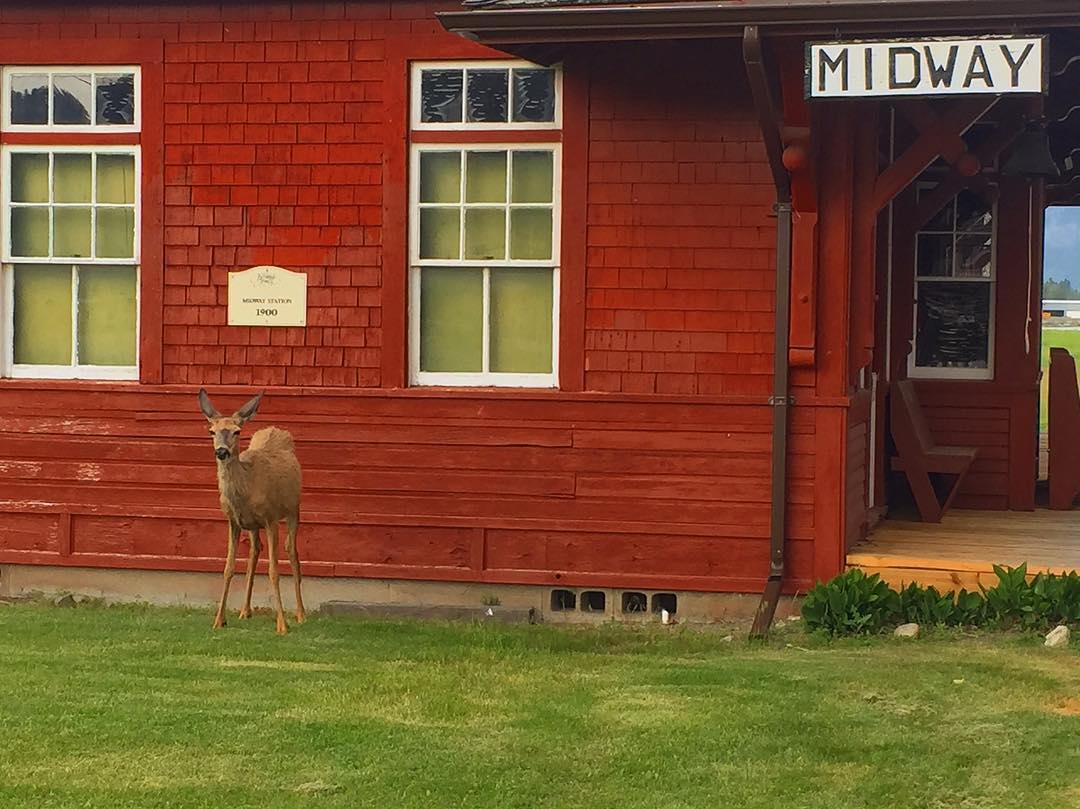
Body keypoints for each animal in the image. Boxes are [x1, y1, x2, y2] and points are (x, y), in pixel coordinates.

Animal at [198, 388, 304, 635]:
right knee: (255, 550)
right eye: (211, 431)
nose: (221, 451)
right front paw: (219, 620)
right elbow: (228, 568)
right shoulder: (233, 521)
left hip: (293, 509)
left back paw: (301, 614)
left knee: (292, 552)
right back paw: (244, 611)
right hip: (253, 526)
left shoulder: (271, 518)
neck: (246, 487)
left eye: (237, 431)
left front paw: (282, 625)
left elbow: (274, 570)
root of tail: (276, 429)